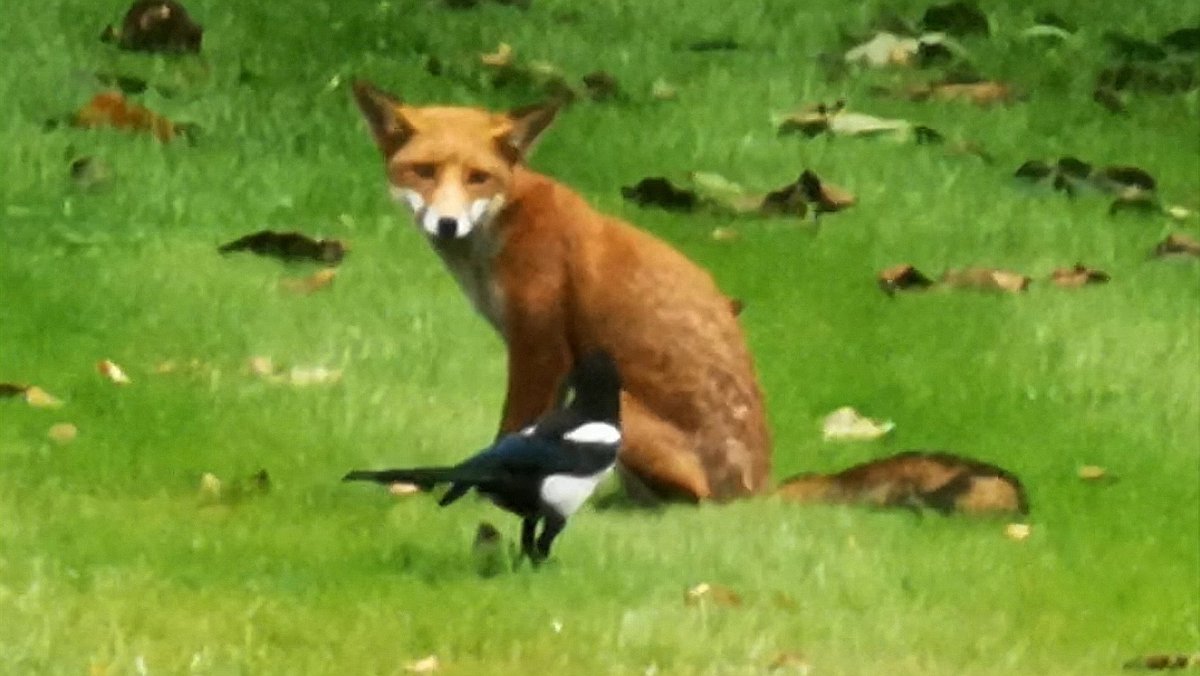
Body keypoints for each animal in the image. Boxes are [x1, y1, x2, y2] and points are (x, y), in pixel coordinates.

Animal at [351, 80, 771, 502]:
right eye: (424, 171)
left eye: (478, 177)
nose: (447, 224)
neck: (501, 228)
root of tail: (756, 491)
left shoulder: (540, 346)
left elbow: (513, 427)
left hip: (617, 408)